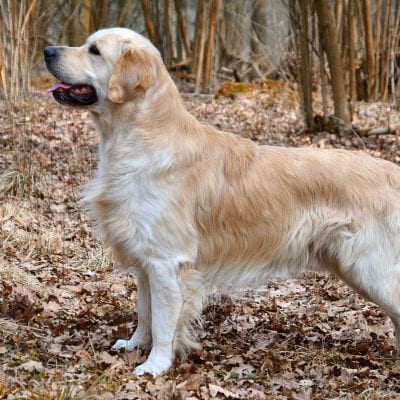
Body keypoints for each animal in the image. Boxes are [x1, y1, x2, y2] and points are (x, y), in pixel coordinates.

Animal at [45, 27, 400, 376]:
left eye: (94, 51)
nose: (48, 51)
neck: (141, 139)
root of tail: (392, 170)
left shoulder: (166, 261)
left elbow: (162, 322)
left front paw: (155, 365)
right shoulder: (146, 260)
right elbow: (144, 312)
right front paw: (134, 345)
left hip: (370, 268)